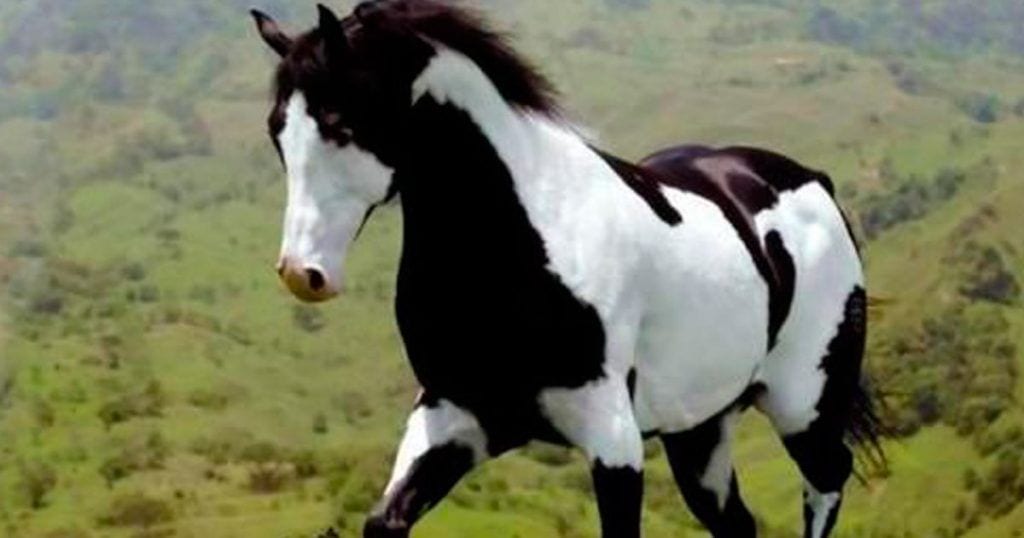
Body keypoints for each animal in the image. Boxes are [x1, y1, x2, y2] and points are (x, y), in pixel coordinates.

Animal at [250, 2, 882, 537]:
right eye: (278, 130)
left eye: (340, 123)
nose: (303, 273)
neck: (525, 248)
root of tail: (813, 181)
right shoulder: (455, 417)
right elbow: (385, 521)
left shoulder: (613, 439)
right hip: (701, 429)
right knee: (737, 521)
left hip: (803, 406)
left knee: (827, 480)